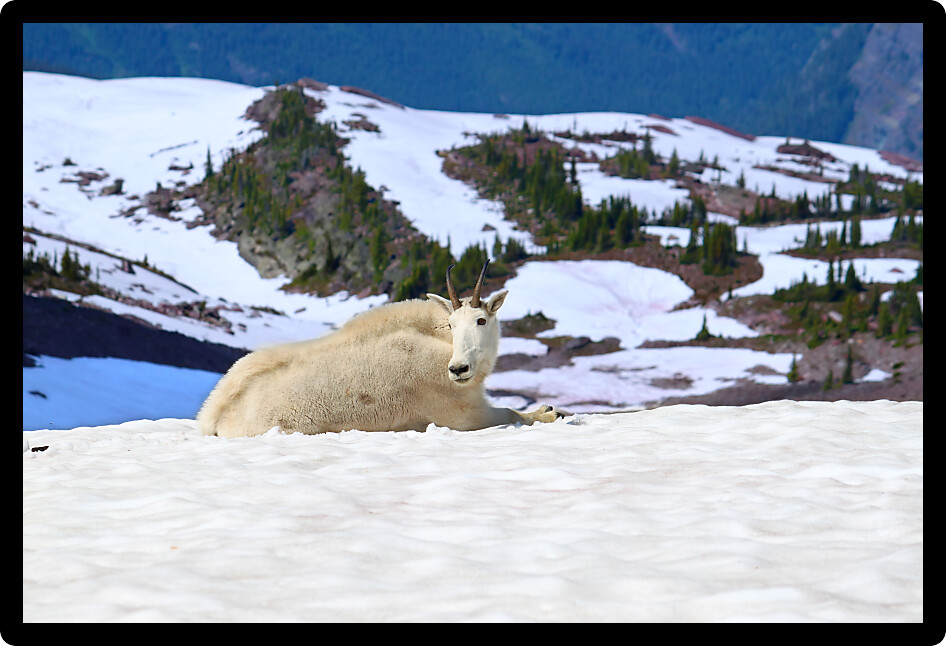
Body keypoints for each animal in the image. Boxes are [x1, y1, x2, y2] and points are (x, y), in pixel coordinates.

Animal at [197, 260, 564, 437]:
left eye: (481, 320)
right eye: (451, 324)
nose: (458, 369)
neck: (440, 344)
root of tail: (214, 417)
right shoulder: (461, 414)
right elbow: (512, 414)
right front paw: (550, 412)